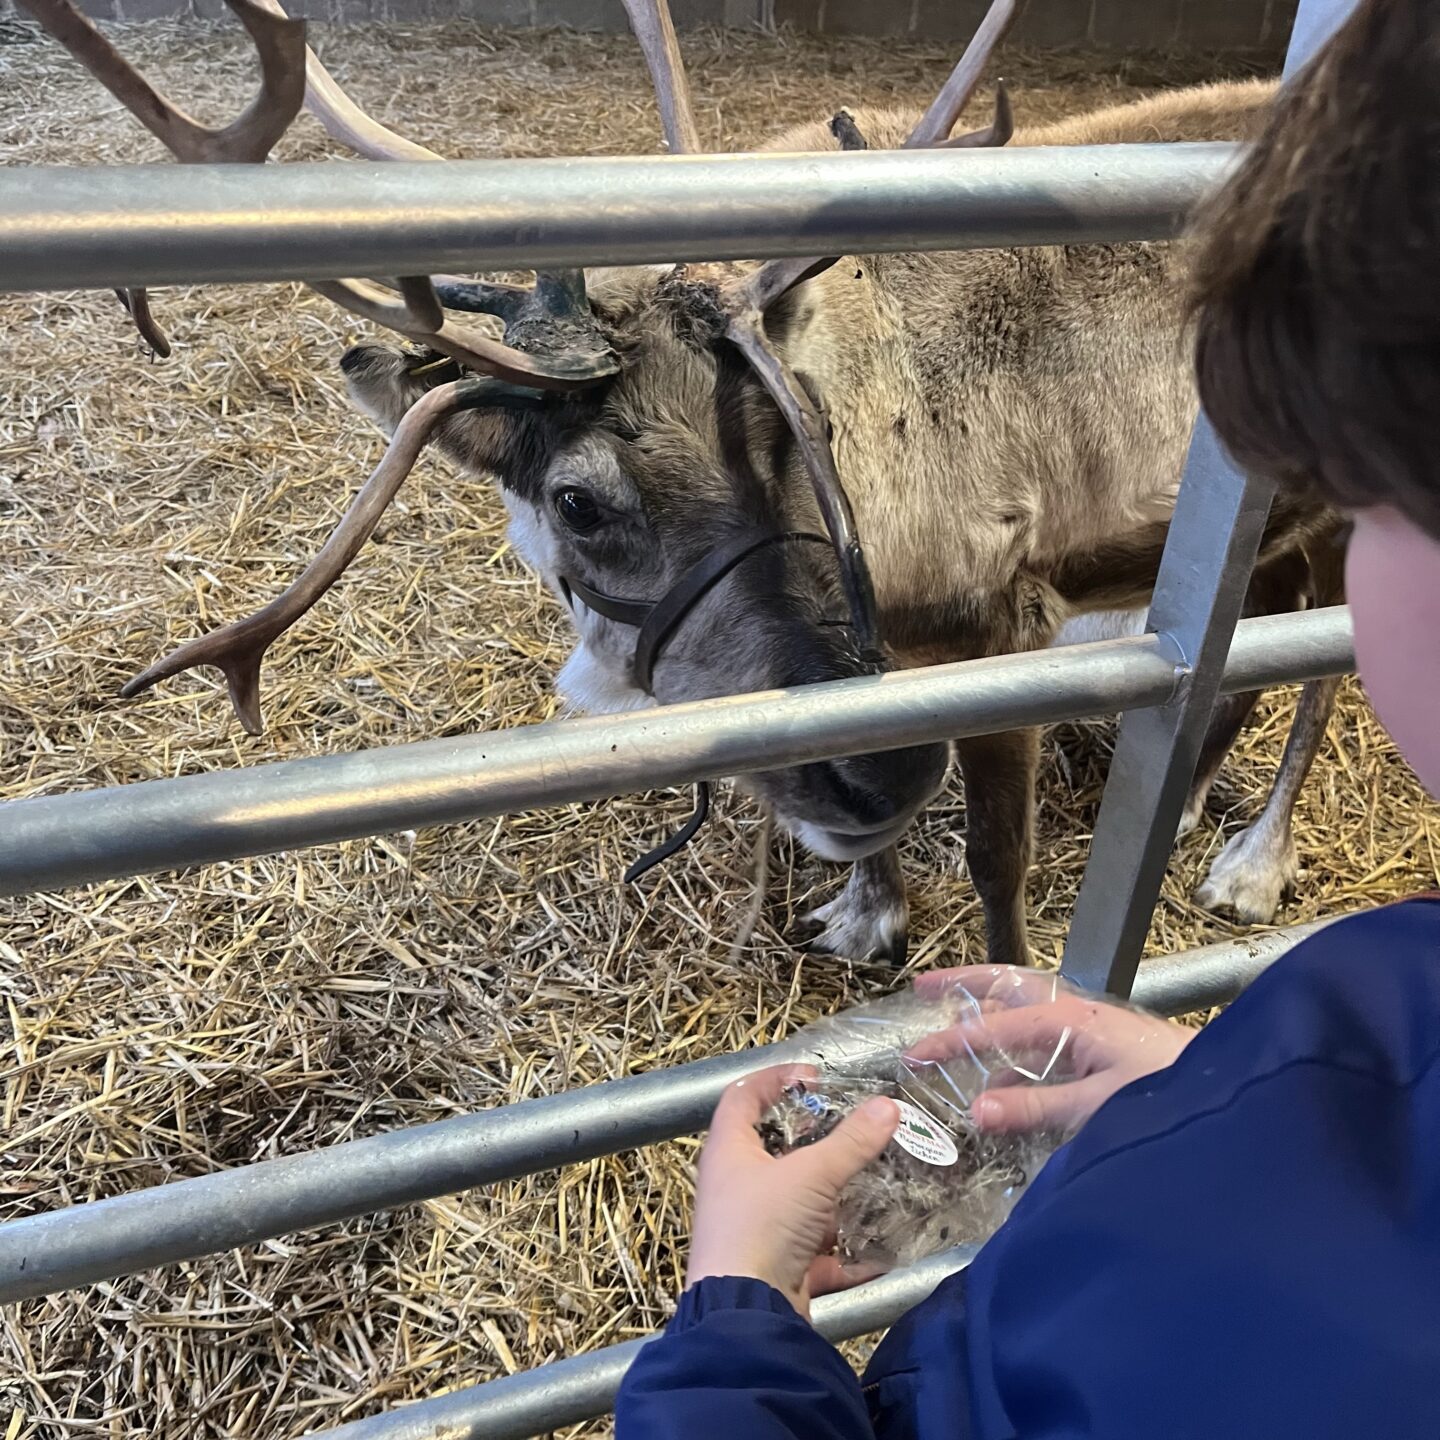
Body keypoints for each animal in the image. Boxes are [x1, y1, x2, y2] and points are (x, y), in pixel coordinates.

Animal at [19, 0, 1343, 969]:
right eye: (578, 502)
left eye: (803, 426)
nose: (882, 780)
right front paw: (868, 911)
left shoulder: (1001, 622)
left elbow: (996, 865)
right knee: (1257, 647)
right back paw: (1187, 798)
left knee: (1322, 674)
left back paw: (1252, 867)